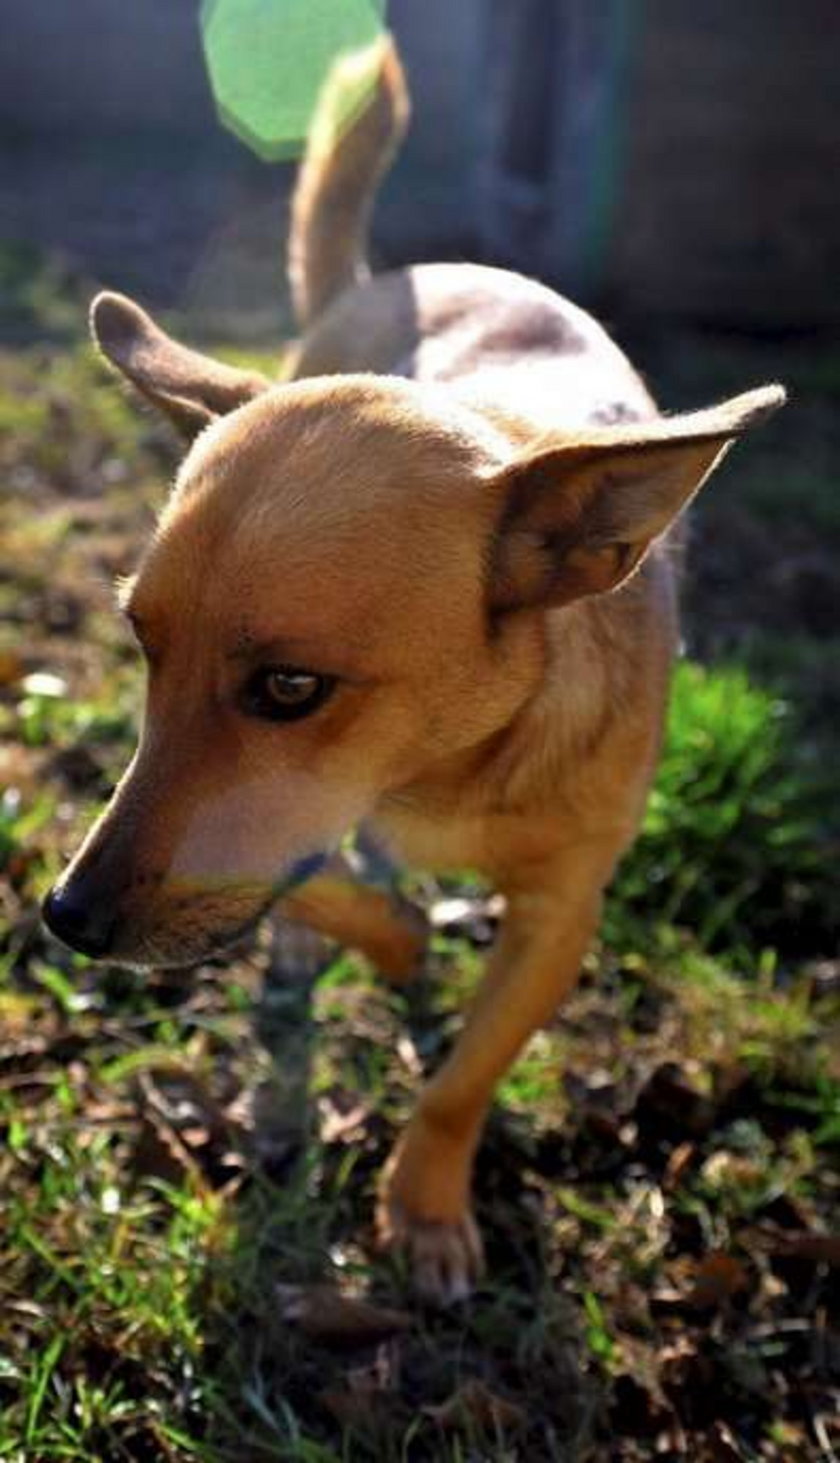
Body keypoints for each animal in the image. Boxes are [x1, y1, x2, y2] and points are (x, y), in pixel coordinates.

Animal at [42, 37, 784, 1304]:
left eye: (291, 688)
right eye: (143, 644)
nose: (63, 915)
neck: (444, 769)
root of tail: (402, 272)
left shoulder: (561, 912)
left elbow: (463, 1077)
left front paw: (426, 1204)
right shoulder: (295, 829)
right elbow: (327, 889)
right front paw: (390, 941)